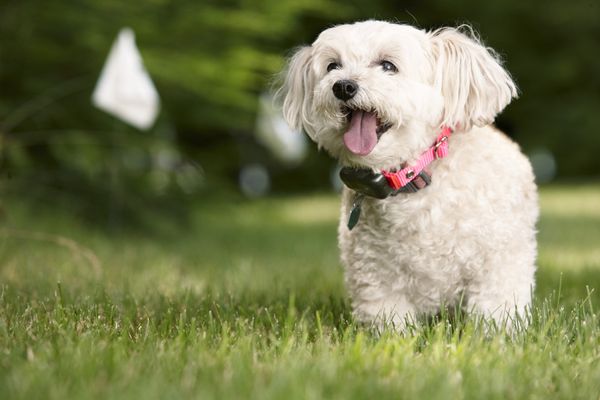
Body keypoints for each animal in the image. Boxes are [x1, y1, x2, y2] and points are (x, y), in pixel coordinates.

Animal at [278, 20, 536, 330]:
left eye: (388, 66)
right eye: (333, 66)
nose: (343, 86)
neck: (412, 179)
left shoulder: (498, 259)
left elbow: (497, 308)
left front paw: (496, 335)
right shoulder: (375, 272)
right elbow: (389, 318)